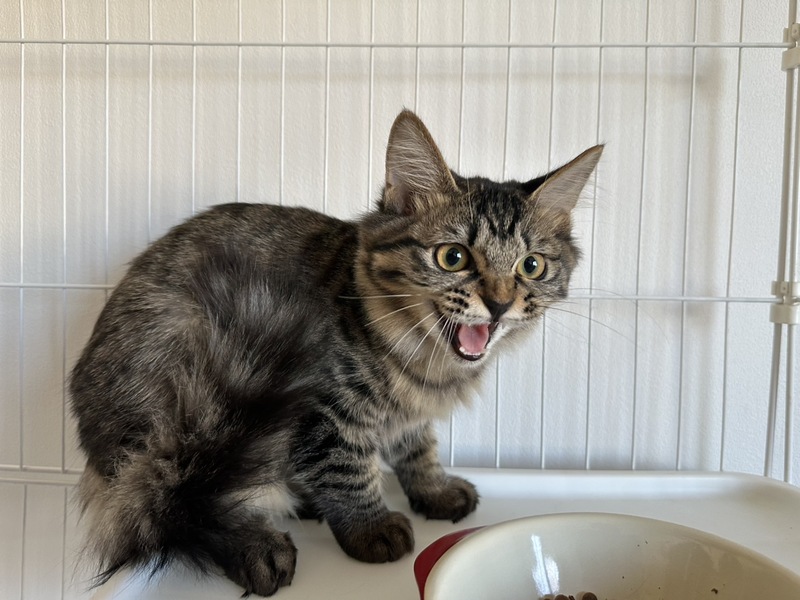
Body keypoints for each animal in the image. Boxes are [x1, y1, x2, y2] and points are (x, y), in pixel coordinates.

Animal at [69, 109, 602, 597]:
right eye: (453, 257)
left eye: (531, 266)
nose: (498, 303)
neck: (423, 363)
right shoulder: (321, 411)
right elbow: (348, 470)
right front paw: (370, 527)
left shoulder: (407, 416)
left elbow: (417, 448)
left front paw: (432, 490)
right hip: (187, 396)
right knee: (182, 504)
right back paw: (255, 545)